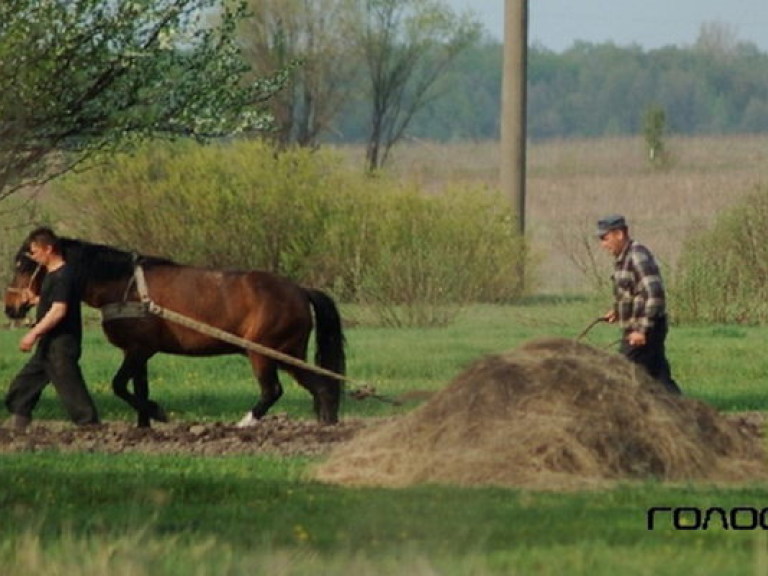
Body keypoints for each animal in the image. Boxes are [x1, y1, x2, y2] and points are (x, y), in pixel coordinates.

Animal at [3, 235, 344, 428]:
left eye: (23, 264)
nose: (10, 307)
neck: (127, 287)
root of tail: (299, 290)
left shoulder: (138, 350)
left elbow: (118, 386)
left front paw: (157, 414)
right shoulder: (139, 352)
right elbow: (138, 388)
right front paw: (144, 425)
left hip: (264, 353)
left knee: (274, 391)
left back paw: (245, 424)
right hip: (288, 354)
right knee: (321, 386)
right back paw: (326, 425)